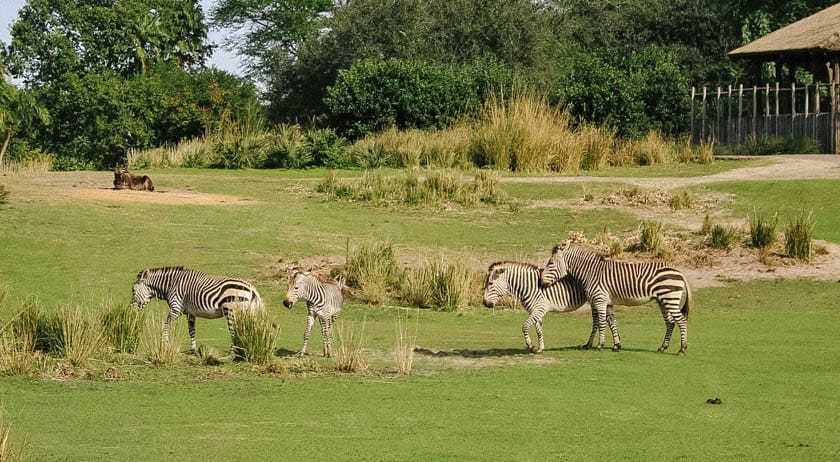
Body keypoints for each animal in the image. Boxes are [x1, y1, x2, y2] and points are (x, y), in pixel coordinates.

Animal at [130, 268, 262, 354]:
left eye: (132, 290)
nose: (131, 309)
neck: (170, 285)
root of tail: (251, 288)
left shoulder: (176, 309)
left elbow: (164, 324)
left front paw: (165, 345)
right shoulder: (190, 313)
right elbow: (192, 330)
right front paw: (193, 349)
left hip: (231, 311)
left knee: (234, 330)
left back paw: (233, 351)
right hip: (248, 312)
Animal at [482, 260, 628, 354]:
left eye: (490, 283)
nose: (484, 303)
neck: (529, 286)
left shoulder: (539, 309)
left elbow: (524, 327)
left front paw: (531, 346)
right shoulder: (536, 311)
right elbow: (538, 329)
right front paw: (540, 348)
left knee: (604, 320)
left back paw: (608, 345)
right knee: (606, 319)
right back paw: (609, 344)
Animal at [540, 242, 692, 354]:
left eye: (551, 263)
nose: (541, 281)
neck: (591, 272)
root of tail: (679, 272)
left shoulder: (599, 300)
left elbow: (600, 322)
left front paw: (599, 345)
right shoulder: (607, 302)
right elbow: (611, 322)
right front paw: (616, 345)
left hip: (670, 299)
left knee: (681, 321)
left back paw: (682, 349)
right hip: (663, 301)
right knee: (670, 322)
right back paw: (663, 347)